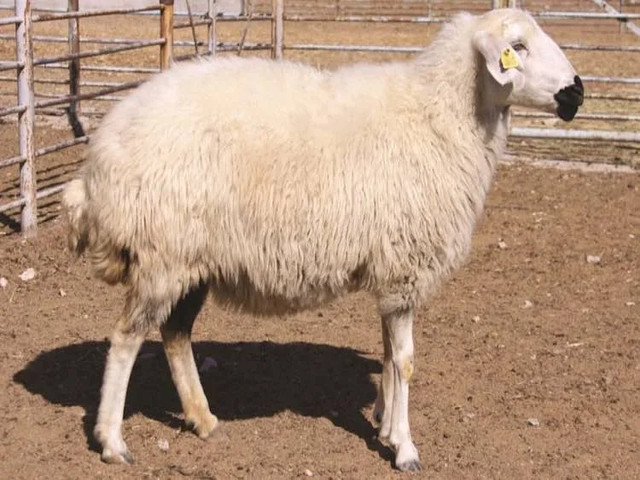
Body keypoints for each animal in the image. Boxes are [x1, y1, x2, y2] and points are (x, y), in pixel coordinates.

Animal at [63, 8, 583, 472]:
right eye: (517, 47)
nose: (576, 91)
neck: (439, 116)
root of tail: (98, 165)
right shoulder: (406, 266)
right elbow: (406, 362)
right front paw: (406, 448)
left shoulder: (391, 271)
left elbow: (389, 355)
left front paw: (385, 425)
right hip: (163, 254)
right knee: (126, 339)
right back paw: (112, 441)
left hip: (192, 259)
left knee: (174, 334)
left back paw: (203, 419)